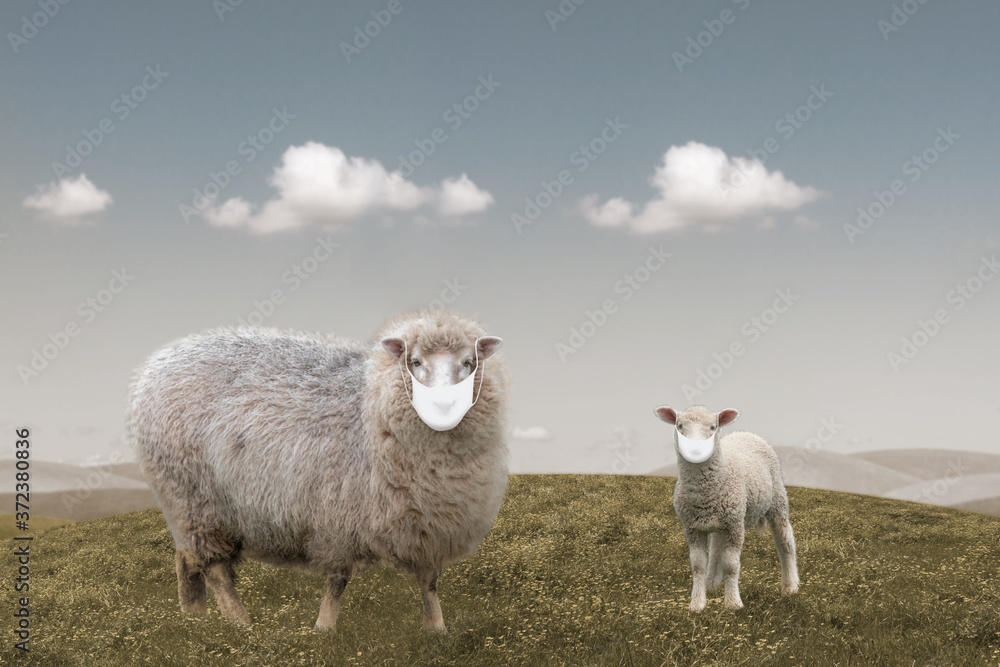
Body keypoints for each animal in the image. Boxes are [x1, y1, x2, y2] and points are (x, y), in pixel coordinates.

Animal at [126, 309, 509, 634]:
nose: (444, 403)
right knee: (215, 569)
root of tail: (162, 360)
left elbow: (428, 582)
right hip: (194, 498)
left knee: (185, 557)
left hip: (186, 505)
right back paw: (240, 623)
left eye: (469, 362)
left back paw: (193, 616)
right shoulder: (337, 513)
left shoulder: (428, 523)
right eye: (414, 362)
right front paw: (324, 629)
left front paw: (437, 629)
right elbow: (337, 579)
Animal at [653, 405, 798, 611]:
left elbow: (731, 565)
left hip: (777, 500)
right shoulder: (691, 527)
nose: (695, 449)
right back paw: (711, 584)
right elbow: (697, 565)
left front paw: (733, 603)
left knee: (785, 541)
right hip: (720, 521)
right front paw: (697, 603)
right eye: (679, 425)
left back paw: (791, 586)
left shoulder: (735, 525)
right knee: (716, 549)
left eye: (713, 427)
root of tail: (745, 433)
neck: (704, 494)